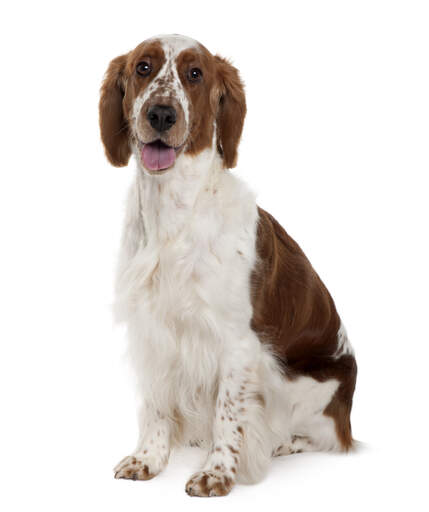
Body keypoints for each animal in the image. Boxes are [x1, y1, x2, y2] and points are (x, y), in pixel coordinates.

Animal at [98, 34, 356, 498]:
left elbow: (228, 413)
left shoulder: (236, 343)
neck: (174, 215)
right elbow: (155, 405)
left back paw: (280, 444)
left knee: (327, 438)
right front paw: (148, 460)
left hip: (303, 388)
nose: (161, 113)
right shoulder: (152, 332)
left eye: (195, 74)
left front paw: (216, 473)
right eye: (143, 67)